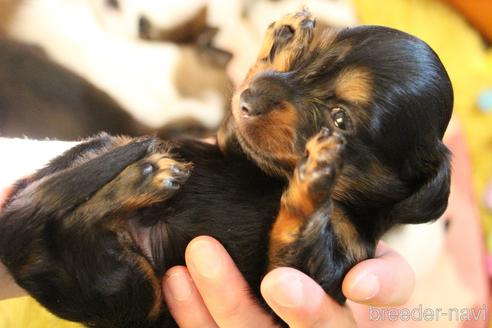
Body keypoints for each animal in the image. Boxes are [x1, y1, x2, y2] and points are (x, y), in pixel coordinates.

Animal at [0, 10, 454, 328]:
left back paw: (146, 179)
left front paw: (318, 173)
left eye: (340, 119)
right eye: (308, 63)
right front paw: (284, 38)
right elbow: (236, 128)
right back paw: (142, 174)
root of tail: (17, 248)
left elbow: (298, 233)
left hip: (130, 289)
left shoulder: (311, 273)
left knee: (70, 231)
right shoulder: (234, 145)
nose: (248, 99)